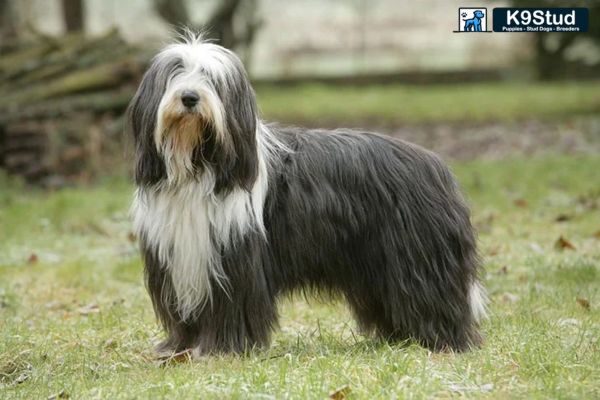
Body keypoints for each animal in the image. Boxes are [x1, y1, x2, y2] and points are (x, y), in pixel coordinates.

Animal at [127, 33, 488, 354]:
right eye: (175, 73)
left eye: (213, 80)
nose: (189, 97)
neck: (198, 165)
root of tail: (436, 165)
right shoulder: (180, 258)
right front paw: (179, 348)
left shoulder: (235, 258)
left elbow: (232, 306)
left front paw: (222, 348)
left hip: (417, 257)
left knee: (432, 296)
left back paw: (442, 340)